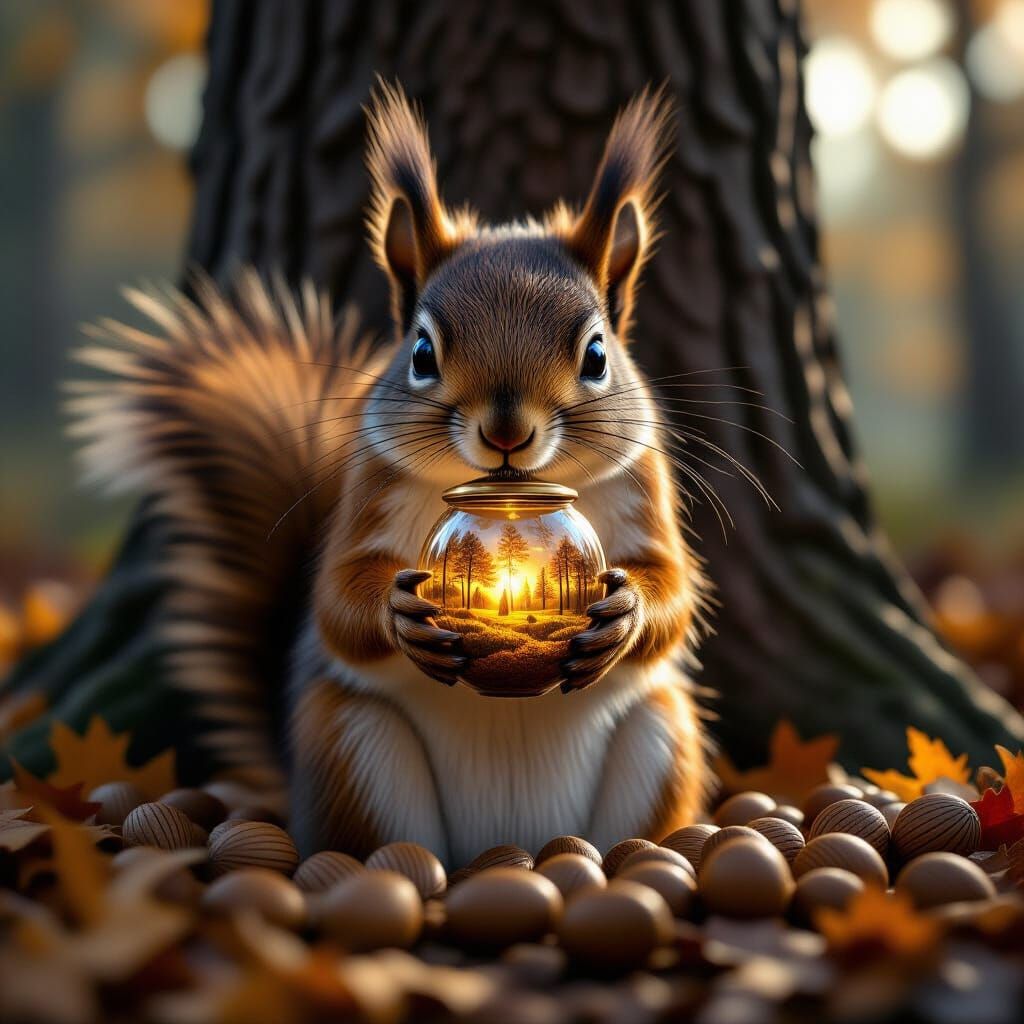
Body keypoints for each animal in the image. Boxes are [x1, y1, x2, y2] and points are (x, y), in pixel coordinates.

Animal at [72, 83, 710, 867]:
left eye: (596, 355)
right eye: (421, 353)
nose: (506, 433)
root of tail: (507, 842)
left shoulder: (644, 488)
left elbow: (671, 586)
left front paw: (625, 612)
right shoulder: (368, 490)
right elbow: (338, 597)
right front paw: (399, 613)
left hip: (661, 737)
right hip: (351, 746)